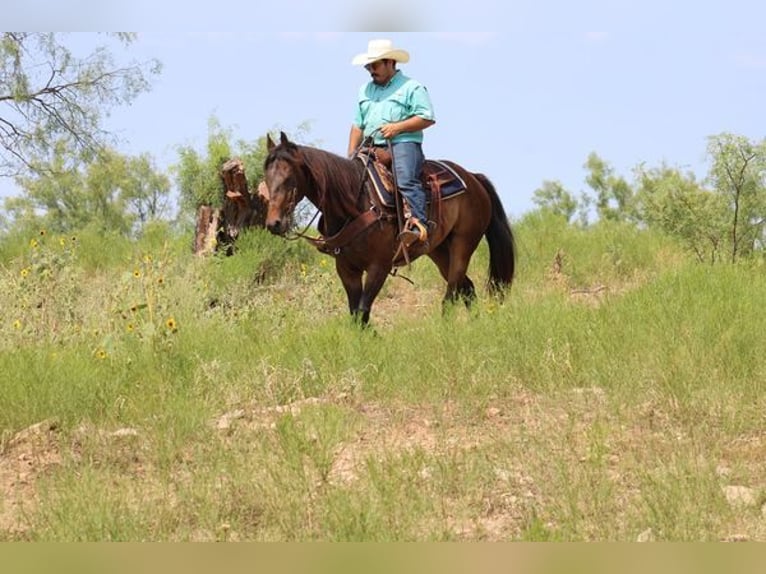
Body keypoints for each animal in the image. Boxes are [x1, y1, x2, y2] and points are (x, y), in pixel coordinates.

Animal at [262, 132, 516, 326]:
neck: (356, 203)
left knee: (453, 291)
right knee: (467, 288)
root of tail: (473, 178)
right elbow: (356, 314)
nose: (274, 223)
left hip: (463, 244)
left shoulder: (379, 266)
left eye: (289, 177)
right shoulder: (346, 269)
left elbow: (363, 311)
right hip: (439, 250)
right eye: (266, 177)